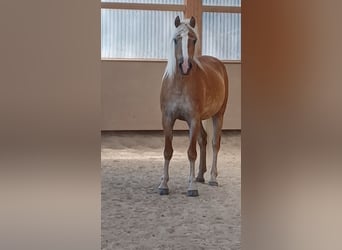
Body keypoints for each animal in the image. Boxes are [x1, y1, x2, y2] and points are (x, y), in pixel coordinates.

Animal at [158, 15, 228, 196]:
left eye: (194, 40)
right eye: (176, 39)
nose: (185, 66)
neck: (180, 84)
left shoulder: (193, 119)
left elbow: (191, 153)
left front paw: (191, 187)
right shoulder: (167, 119)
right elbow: (167, 151)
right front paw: (163, 184)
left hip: (218, 115)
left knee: (214, 144)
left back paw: (212, 178)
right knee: (203, 140)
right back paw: (200, 176)